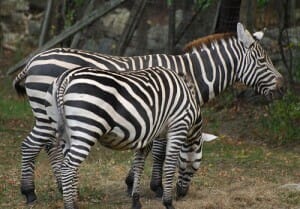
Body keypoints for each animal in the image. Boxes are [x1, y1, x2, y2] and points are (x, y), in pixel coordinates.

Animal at [44, 65, 203, 209]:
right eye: (194, 169)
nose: (181, 194)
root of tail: (67, 77)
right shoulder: (178, 126)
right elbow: (169, 164)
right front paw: (168, 202)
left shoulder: (149, 133)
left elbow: (139, 164)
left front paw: (136, 200)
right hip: (86, 129)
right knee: (67, 168)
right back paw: (70, 205)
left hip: (66, 133)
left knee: (71, 168)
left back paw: (74, 202)